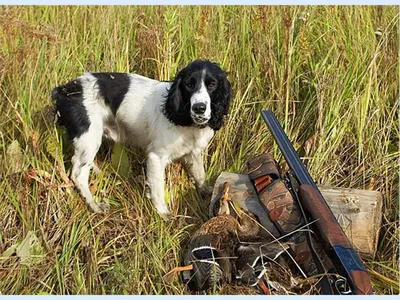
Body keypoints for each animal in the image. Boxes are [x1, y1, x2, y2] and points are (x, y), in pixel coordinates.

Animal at [51, 59, 231, 218]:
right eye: (189, 84)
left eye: (212, 84)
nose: (199, 108)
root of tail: (65, 90)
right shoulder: (156, 157)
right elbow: (157, 188)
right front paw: (163, 213)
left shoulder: (192, 152)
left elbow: (199, 174)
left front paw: (207, 192)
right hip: (89, 137)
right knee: (78, 174)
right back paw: (94, 205)